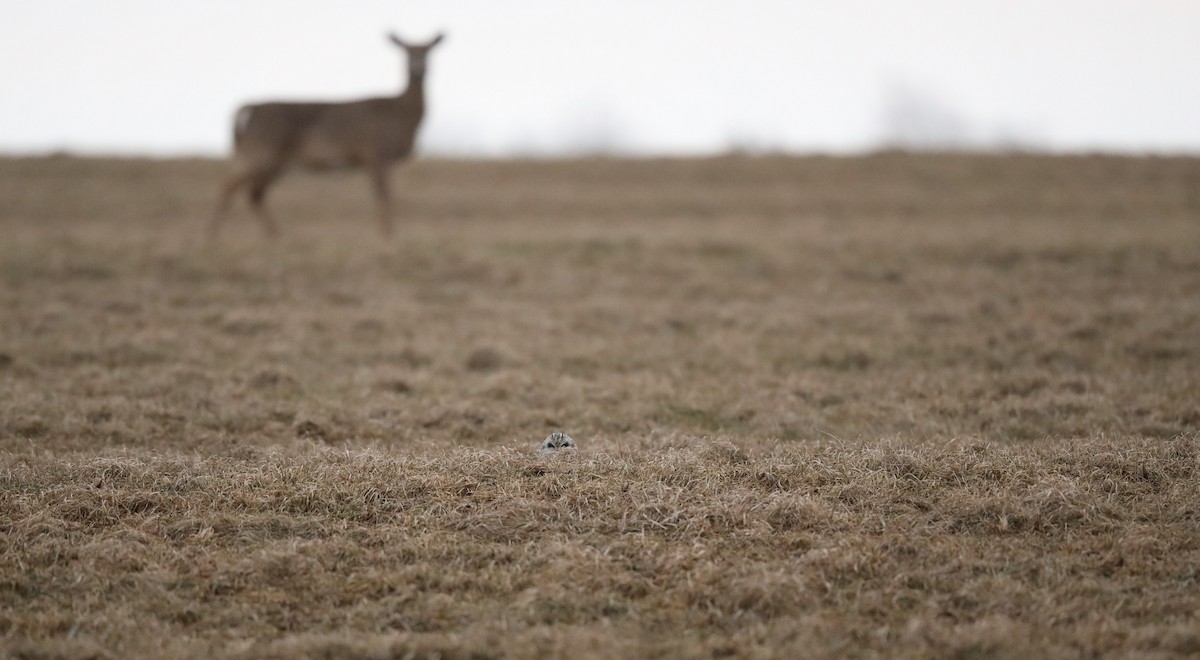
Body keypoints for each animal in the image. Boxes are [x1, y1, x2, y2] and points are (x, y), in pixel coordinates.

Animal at [210, 33, 446, 241]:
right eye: (406, 51)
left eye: (428, 51)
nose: (417, 69)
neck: (402, 114)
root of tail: (249, 108)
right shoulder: (375, 152)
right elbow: (383, 195)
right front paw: (387, 235)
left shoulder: (374, 158)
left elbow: (383, 195)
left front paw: (387, 233)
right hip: (262, 152)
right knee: (229, 186)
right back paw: (213, 236)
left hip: (275, 160)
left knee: (254, 193)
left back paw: (274, 236)